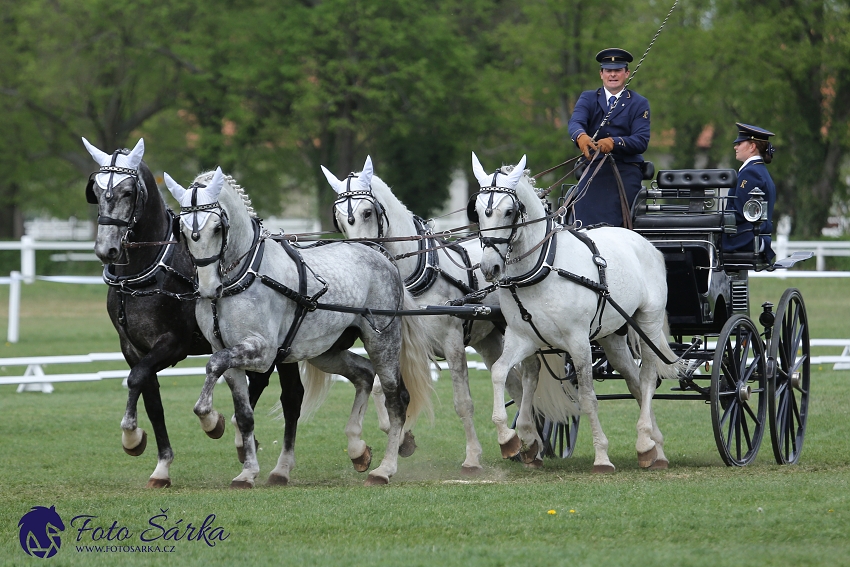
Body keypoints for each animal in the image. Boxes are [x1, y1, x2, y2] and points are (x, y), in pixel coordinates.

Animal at [164, 169, 430, 488]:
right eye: (182, 229)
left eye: (217, 228)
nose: (207, 288)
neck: (242, 276)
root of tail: (381, 256)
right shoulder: (229, 353)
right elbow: (244, 413)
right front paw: (247, 472)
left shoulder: (262, 352)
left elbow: (214, 365)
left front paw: (209, 420)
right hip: (325, 351)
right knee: (364, 375)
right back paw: (357, 449)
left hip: (382, 340)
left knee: (395, 398)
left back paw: (384, 469)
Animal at [322, 154, 532, 470]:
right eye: (339, 218)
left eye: (368, 212)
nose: (361, 255)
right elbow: (380, 389)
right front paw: (401, 439)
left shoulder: (453, 344)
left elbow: (463, 402)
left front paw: (472, 456)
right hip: (488, 337)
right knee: (514, 383)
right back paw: (517, 441)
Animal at [470, 153, 676, 472]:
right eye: (478, 211)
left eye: (509, 211)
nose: (489, 267)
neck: (542, 267)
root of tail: (644, 242)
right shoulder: (522, 338)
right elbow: (502, 373)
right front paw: (512, 438)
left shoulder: (578, 342)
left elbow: (587, 397)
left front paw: (602, 456)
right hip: (611, 337)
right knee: (634, 382)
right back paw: (655, 447)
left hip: (648, 326)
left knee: (648, 379)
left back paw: (646, 442)